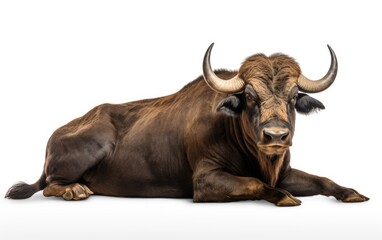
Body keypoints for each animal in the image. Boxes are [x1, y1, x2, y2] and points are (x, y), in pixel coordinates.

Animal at [5, 43, 368, 206]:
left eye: (294, 97)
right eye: (250, 96)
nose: (276, 135)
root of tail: (56, 135)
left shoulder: (286, 171)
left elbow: (323, 180)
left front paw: (352, 193)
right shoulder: (205, 182)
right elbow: (254, 184)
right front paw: (284, 197)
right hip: (87, 149)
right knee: (49, 184)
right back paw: (76, 190)